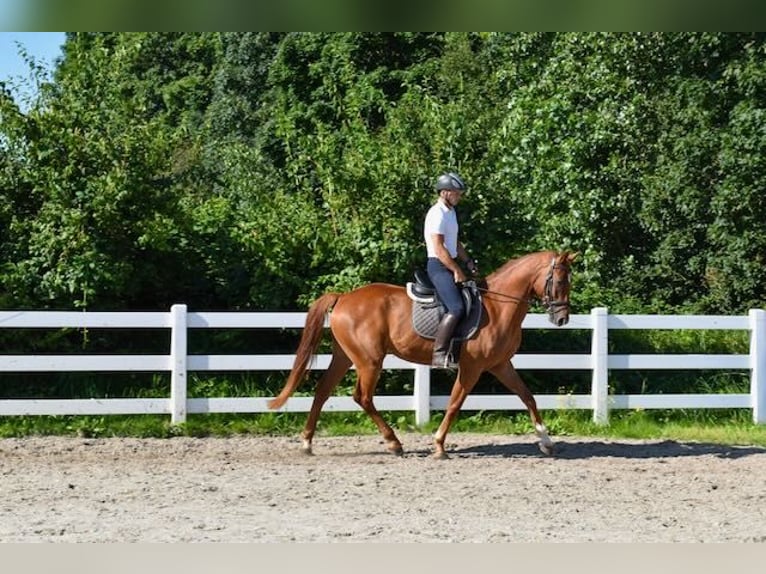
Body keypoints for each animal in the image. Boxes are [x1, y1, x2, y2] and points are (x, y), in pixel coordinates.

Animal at [270, 250, 576, 462]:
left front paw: (546, 441)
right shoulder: (472, 367)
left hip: (345, 357)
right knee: (362, 397)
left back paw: (307, 442)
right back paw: (394, 443)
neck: (498, 306)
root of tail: (344, 297)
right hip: (369, 361)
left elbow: (527, 396)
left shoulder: (500, 364)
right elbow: (455, 403)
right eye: (560, 280)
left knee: (322, 392)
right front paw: (439, 445)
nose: (562, 319)